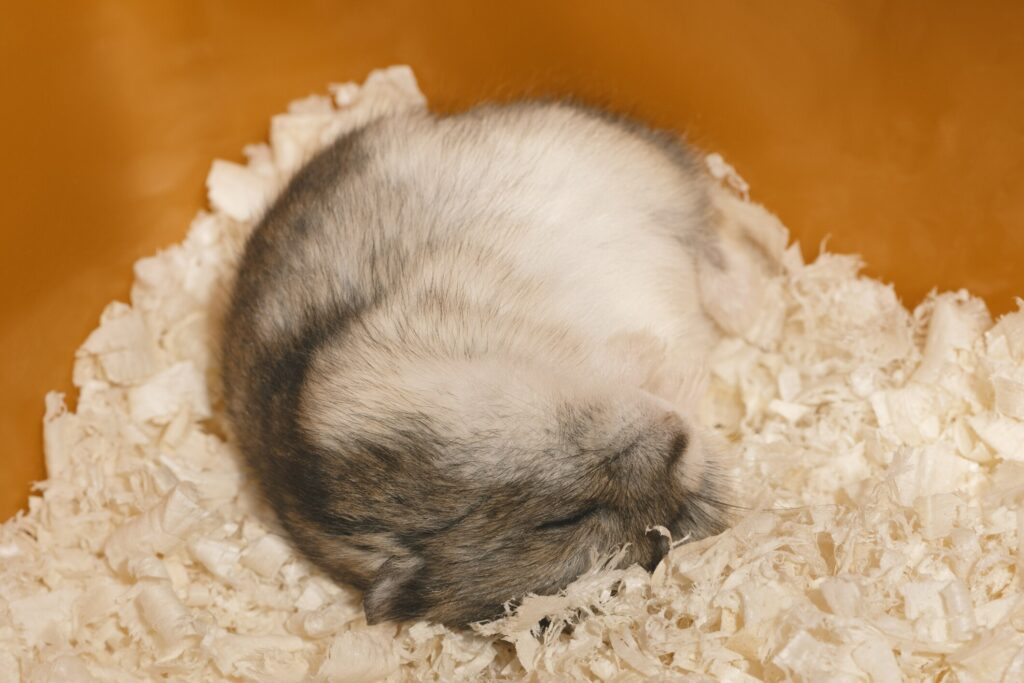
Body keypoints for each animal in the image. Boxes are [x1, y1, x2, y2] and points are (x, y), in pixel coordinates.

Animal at [221, 102, 743, 626]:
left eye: (561, 520)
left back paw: (744, 304)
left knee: (705, 231)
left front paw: (675, 363)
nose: (680, 440)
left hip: (640, 175)